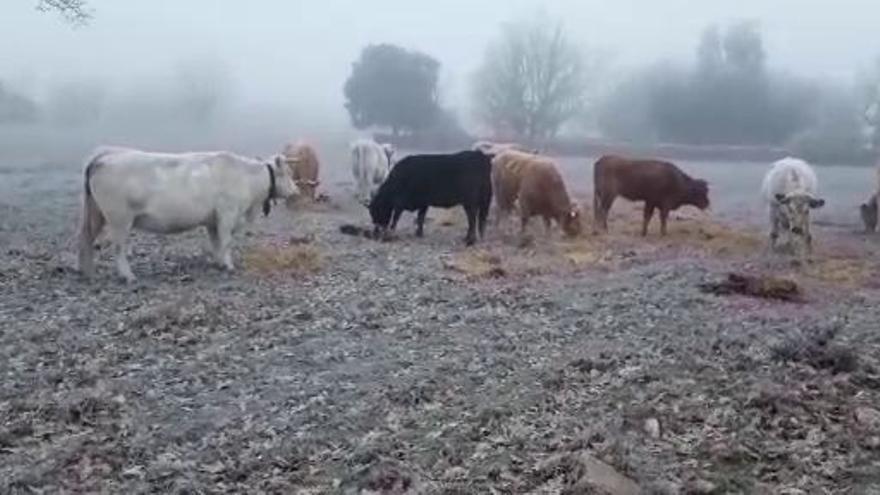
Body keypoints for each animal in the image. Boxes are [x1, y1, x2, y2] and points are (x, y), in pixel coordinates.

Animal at [79, 146, 300, 282]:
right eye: (288, 173)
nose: (296, 191)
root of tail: (105, 156)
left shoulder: (213, 220)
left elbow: (216, 242)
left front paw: (219, 262)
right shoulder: (227, 214)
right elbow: (226, 240)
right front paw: (228, 265)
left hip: (96, 213)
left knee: (86, 238)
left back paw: (86, 272)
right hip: (119, 219)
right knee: (119, 248)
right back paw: (127, 276)